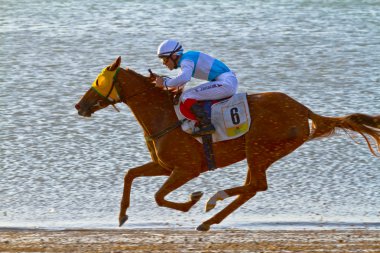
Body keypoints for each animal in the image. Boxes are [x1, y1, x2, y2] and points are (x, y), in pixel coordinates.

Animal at [75, 56, 380, 231]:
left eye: (99, 81)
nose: (79, 105)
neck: (164, 116)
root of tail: (302, 109)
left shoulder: (186, 169)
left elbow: (159, 196)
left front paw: (192, 200)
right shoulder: (163, 165)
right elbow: (129, 175)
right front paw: (121, 216)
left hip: (259, 148)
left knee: (255, 185)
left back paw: (213, 201)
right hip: (259, 153)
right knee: (252, 187)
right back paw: (210, 219)